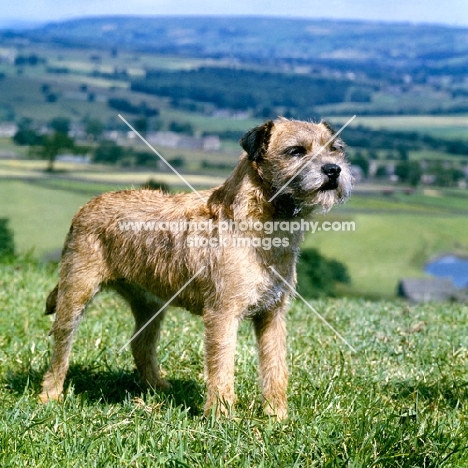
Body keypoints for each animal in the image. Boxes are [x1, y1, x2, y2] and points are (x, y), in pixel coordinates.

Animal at [40, 118, 352, 420]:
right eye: (296, 151)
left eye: (335, 149)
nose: (333, 170)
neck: (260, 222)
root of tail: (86, 206)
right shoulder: (223, 315)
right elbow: (222, 368)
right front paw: (221, 418)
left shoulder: (272, 315)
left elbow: (276, 367)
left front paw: (278, 417)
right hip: (76, 294)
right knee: (60, 347)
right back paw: (50, 395)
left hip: (150, 305)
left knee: (140, 345)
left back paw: (158, 388)